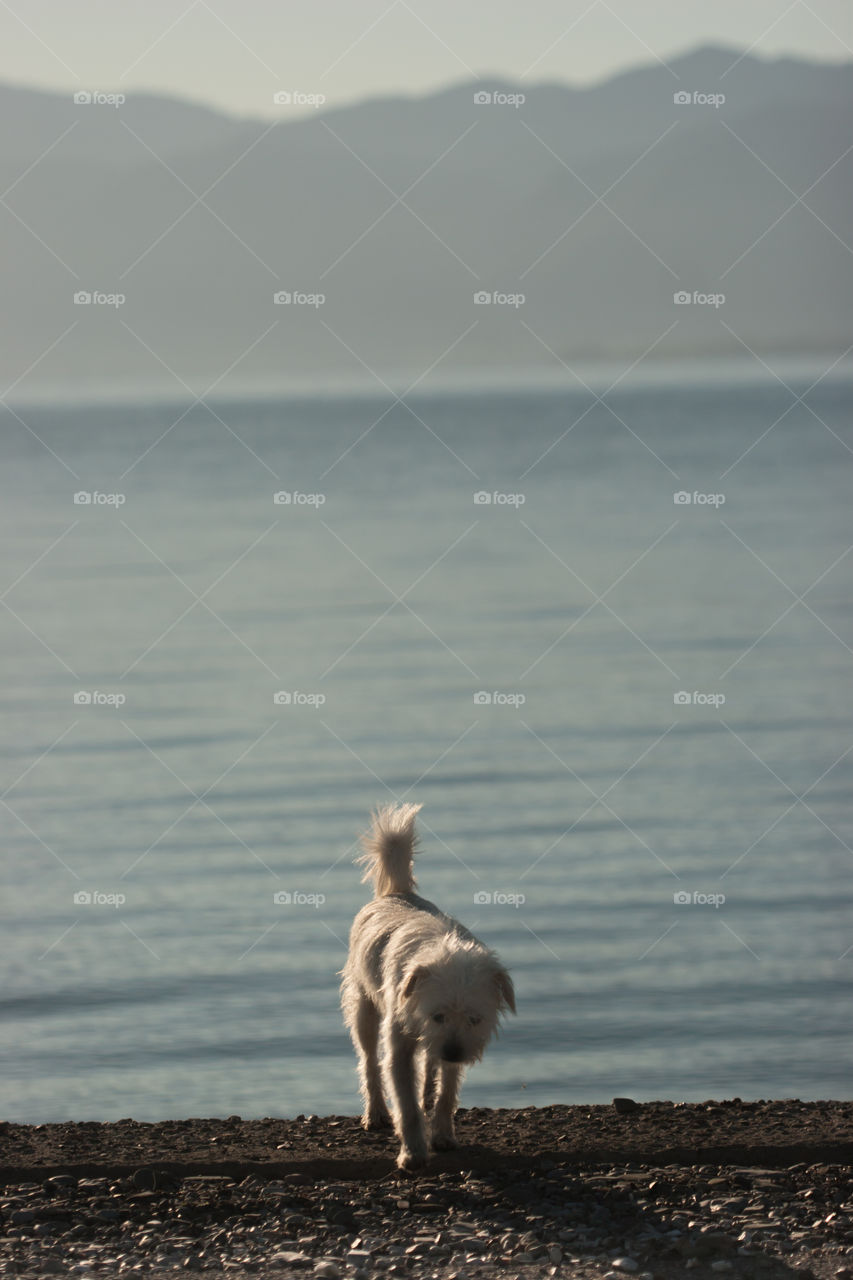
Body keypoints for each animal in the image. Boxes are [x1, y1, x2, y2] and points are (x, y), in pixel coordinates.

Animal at [338, 803, 512, 1167]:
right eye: (437, 1015)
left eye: (474, 1019)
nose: (453, 1052)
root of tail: (397, 893)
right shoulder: (402, 1042)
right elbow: (404, 1100)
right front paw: (413, 1153)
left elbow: (448, 1090)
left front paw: (443, 1134)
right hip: (364, 1007)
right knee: (369, 1058)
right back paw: (376, 1111)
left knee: (429, 1065)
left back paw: (427, 1089)